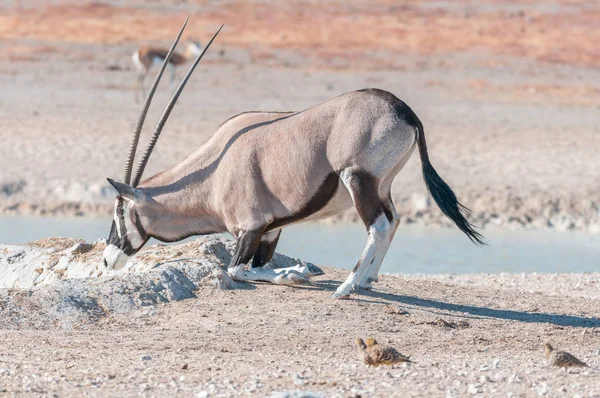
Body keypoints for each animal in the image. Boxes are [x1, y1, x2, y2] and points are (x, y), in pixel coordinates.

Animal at [104, 17, 488, 298]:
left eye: (120, 211)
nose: (108, 260)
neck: (213, 176)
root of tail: (405, 110)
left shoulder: (251, 227)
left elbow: (237, 269)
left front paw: (297, 272)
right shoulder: (272, 230)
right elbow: (255, 266)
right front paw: (297, 270)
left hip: (358, 180)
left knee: (378, 226)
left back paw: (346, 288)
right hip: (382, 185)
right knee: (392, 222)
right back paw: (366, 280)